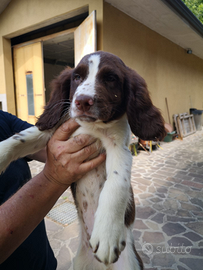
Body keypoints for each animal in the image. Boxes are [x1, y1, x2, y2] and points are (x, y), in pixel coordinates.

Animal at [0, 51, 166, 270]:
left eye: (110, 78)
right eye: (77, 77)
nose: (82, 101)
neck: (93, 127)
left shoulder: (119, 149)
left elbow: (116, 183)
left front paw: (106, 236)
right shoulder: (55, 131)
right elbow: (19, 138)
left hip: (130, 262)